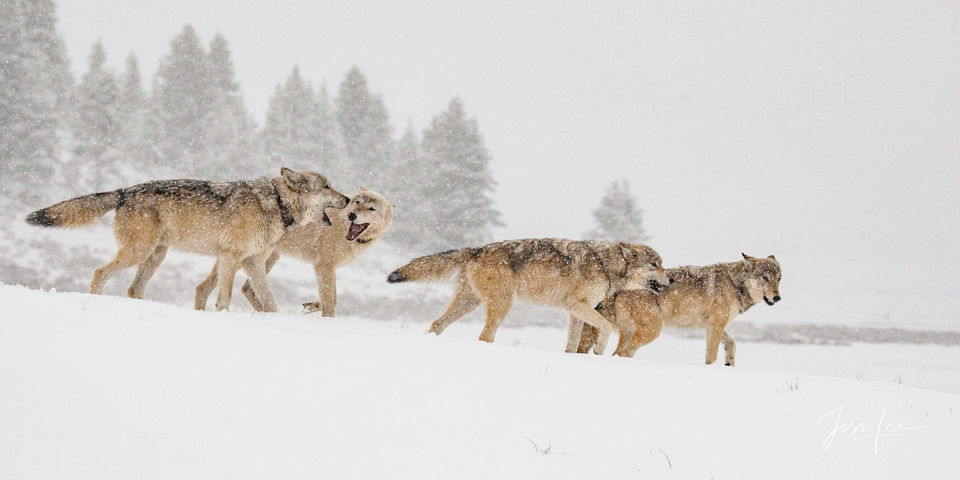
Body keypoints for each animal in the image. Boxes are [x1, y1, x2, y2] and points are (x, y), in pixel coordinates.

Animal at [24, 168, 348, 312]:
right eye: (327, 186)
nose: (346, 199)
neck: (276, 205)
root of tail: (125, 190)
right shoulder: (231, 258)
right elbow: (224, 299)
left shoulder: (252, 262)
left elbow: (270, 302)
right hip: (137, 252)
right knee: (98, 272)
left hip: (155, 256)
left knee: (133, 288)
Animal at [195, 188, 394, 316]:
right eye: (357, 202)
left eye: (371, 208)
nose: (352, 215)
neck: (343, 228)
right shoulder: (323, 267)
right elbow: (330, 303)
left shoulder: (331, 268)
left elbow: (334, 299)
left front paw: (311, 306)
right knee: (207, 288)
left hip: (266, 258)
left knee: (243, 288)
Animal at [386, 239, 672, 354]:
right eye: (655, 264)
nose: (671, 280)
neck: (606, 264)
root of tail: (477, 249)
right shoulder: (579, 306)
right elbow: (606, 326)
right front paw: (600, 349)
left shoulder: (575, 312)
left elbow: (572, 343)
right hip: (503, 305)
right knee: (484, 335)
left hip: (469, 303)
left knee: (437, 324)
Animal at [572, 255, 784, 364]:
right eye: (765, 278)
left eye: (778, 279)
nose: (777, 297)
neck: (735, 284)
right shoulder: (716, 325)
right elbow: (711, 356)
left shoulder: (711, 325)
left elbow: (731, 343)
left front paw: (729, 362)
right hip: (653, 330)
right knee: (622, 354)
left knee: (616, 354)